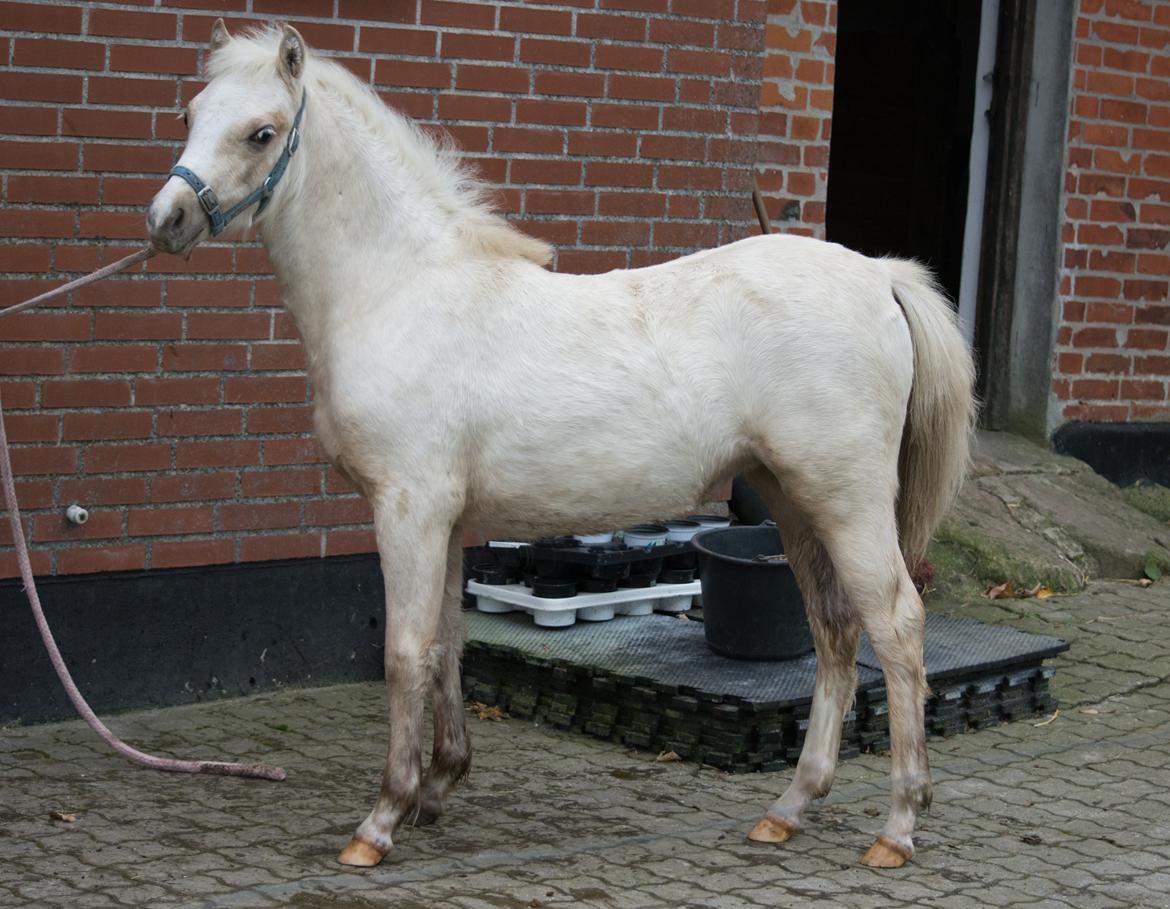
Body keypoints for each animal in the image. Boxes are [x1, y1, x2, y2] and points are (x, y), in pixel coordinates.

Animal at [146, 21, 977, 869]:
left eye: (262, 132)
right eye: (190, 114)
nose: (167, 219)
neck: (402, 290)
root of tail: (878, 275)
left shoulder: (408, 510)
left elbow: (406, 652)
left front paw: (380, 819)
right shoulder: (448, 521)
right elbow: (447, 645)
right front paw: (437, 787)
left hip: (845, 501)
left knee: (896, 626)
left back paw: (897, 826)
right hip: (793, 500)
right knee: (835, 632)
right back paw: (790, 807)